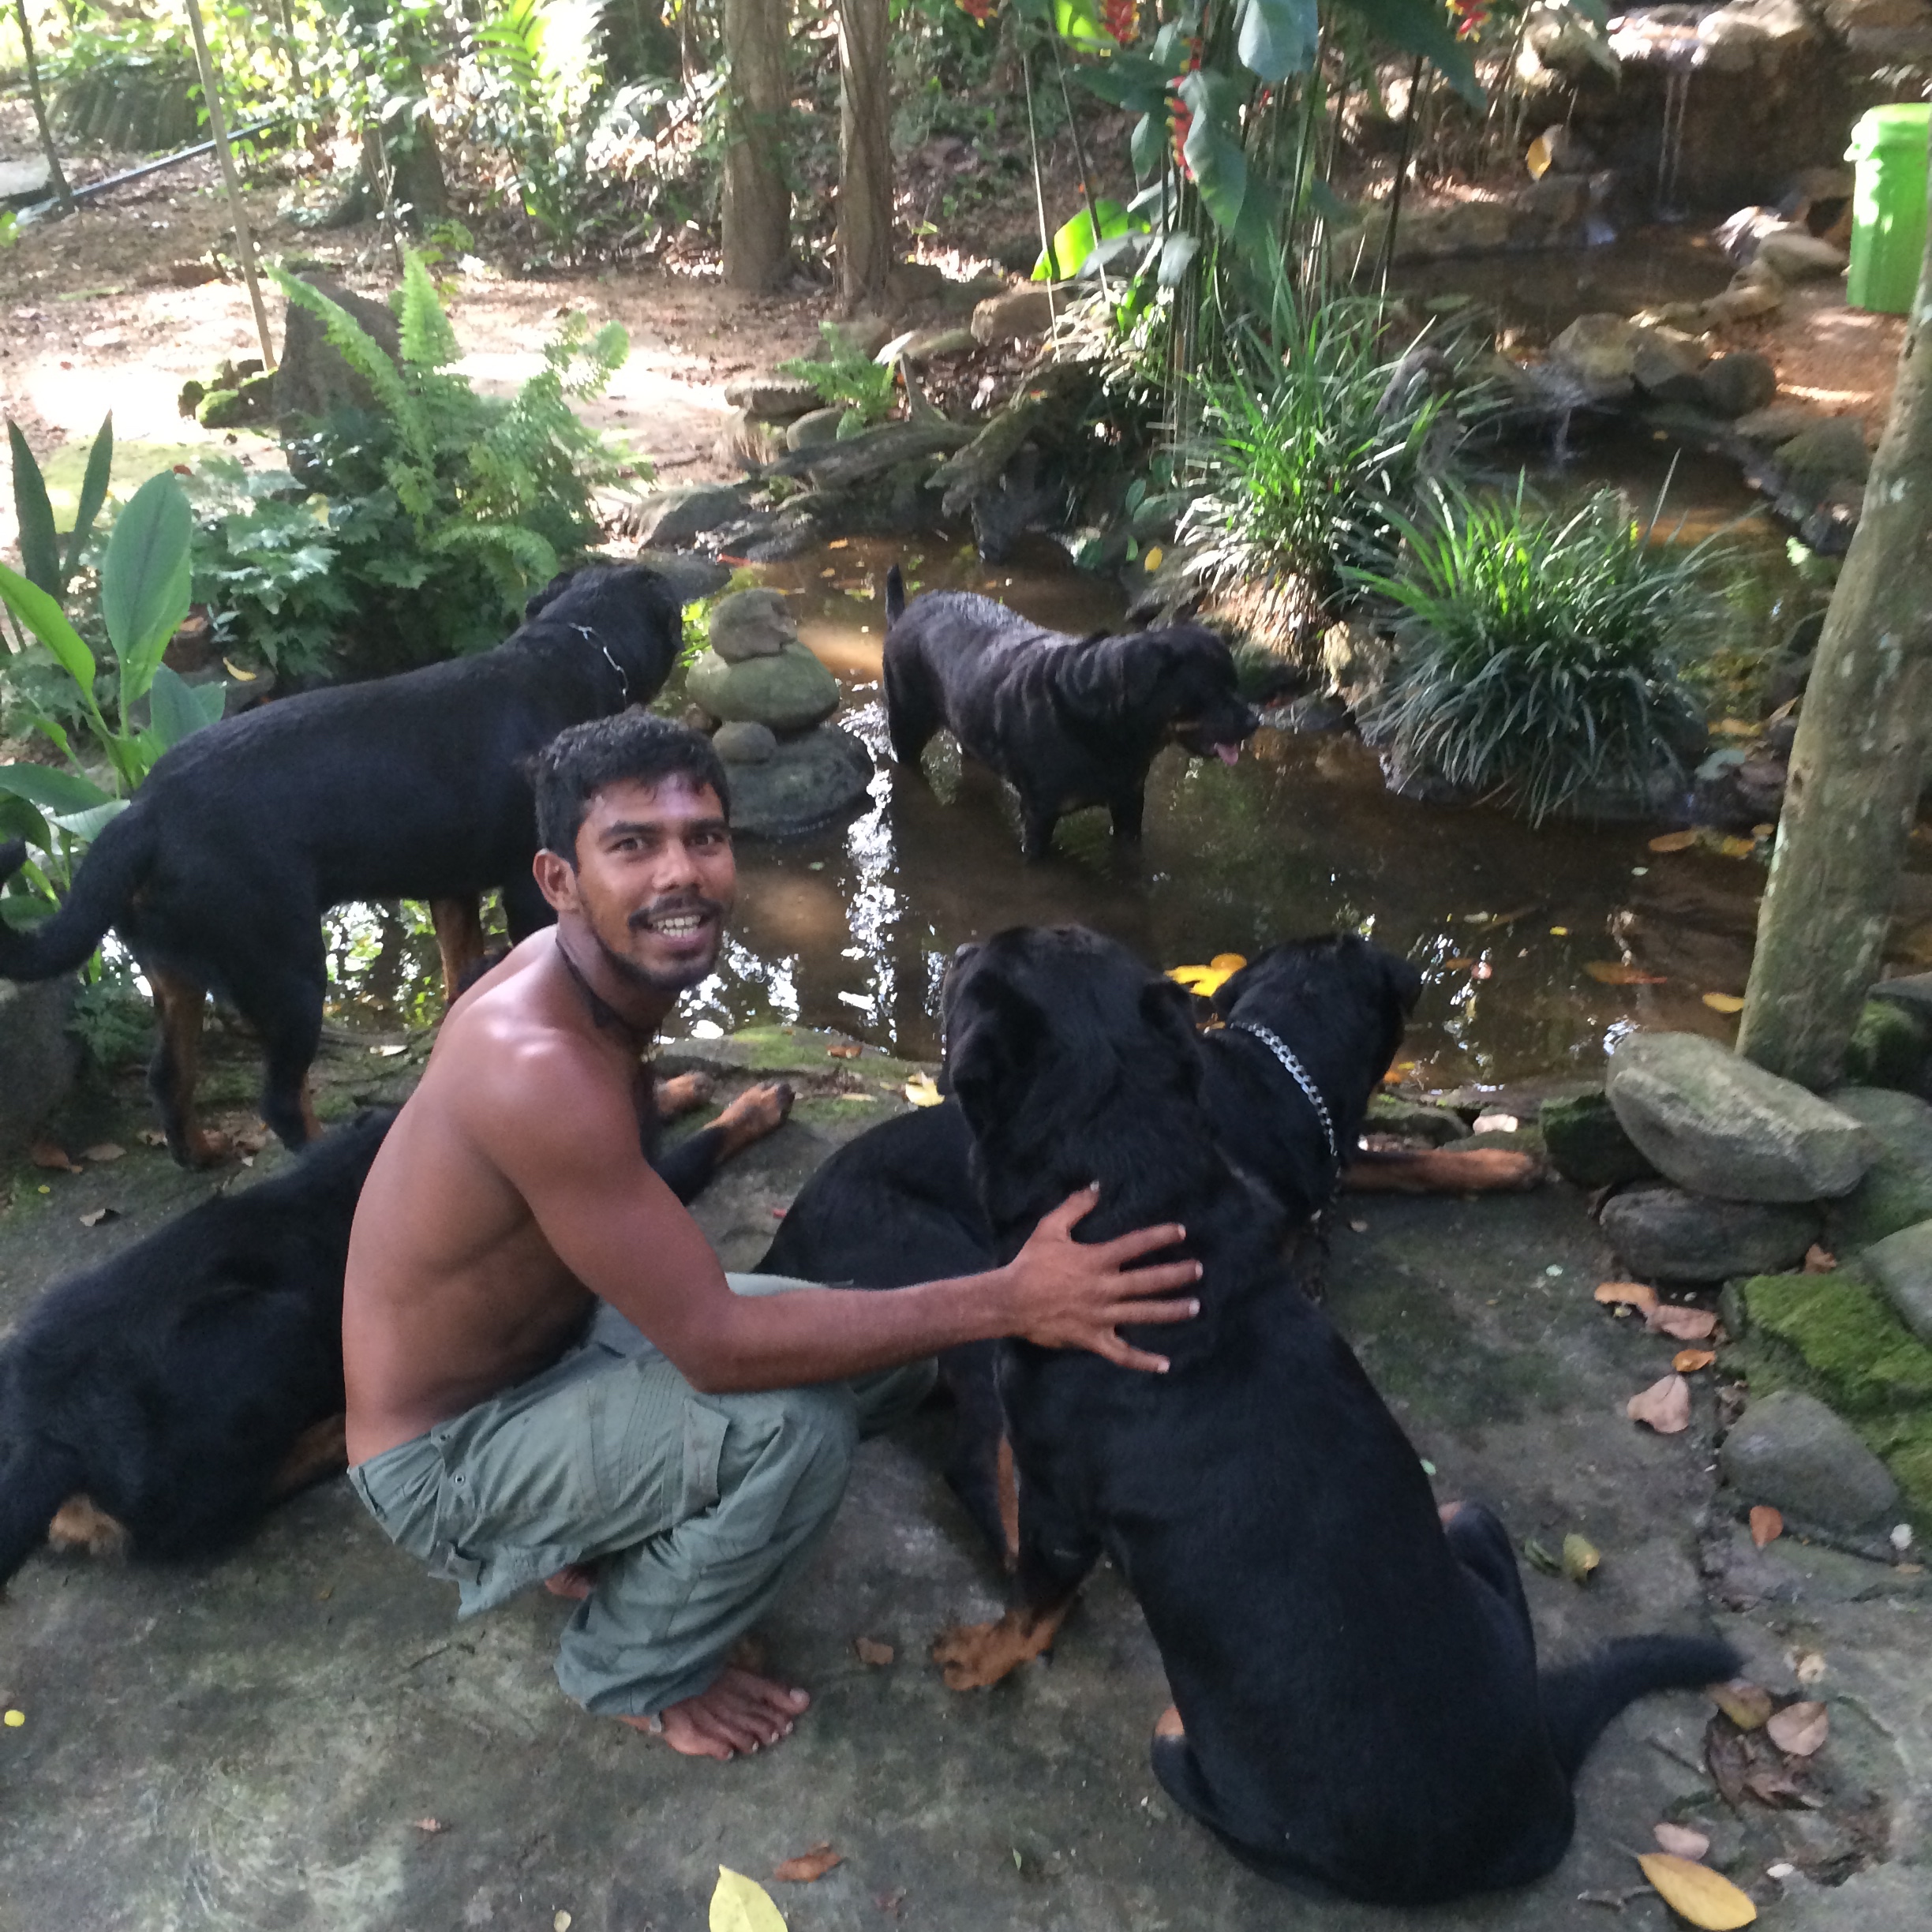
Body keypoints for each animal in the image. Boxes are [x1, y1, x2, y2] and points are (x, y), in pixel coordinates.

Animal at [0, 564, 685, 1165]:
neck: (566, 656)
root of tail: (142, 814)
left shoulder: (452, 891)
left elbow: (463, 976)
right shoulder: (529, 888)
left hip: (175, 971)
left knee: (170, 1076)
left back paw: (202, 1152)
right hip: (289, 973)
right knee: (281, 1100)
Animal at [881, 566, 1257, 858]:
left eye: (1236, 684)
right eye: (1208, 692)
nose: (1255, 721)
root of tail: (905, 613)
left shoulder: (1129, 801)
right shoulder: (1039, 814)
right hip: (906, 723)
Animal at [929, 925, 1737, 1905]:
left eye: (979, 969)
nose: (959, 948)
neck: (1137, 1194)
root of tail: (1541, 1806)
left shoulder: (1060, 1499)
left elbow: (1031, 1599)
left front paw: (981, 1655)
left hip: (1192, 1720)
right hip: (1462, 1522)